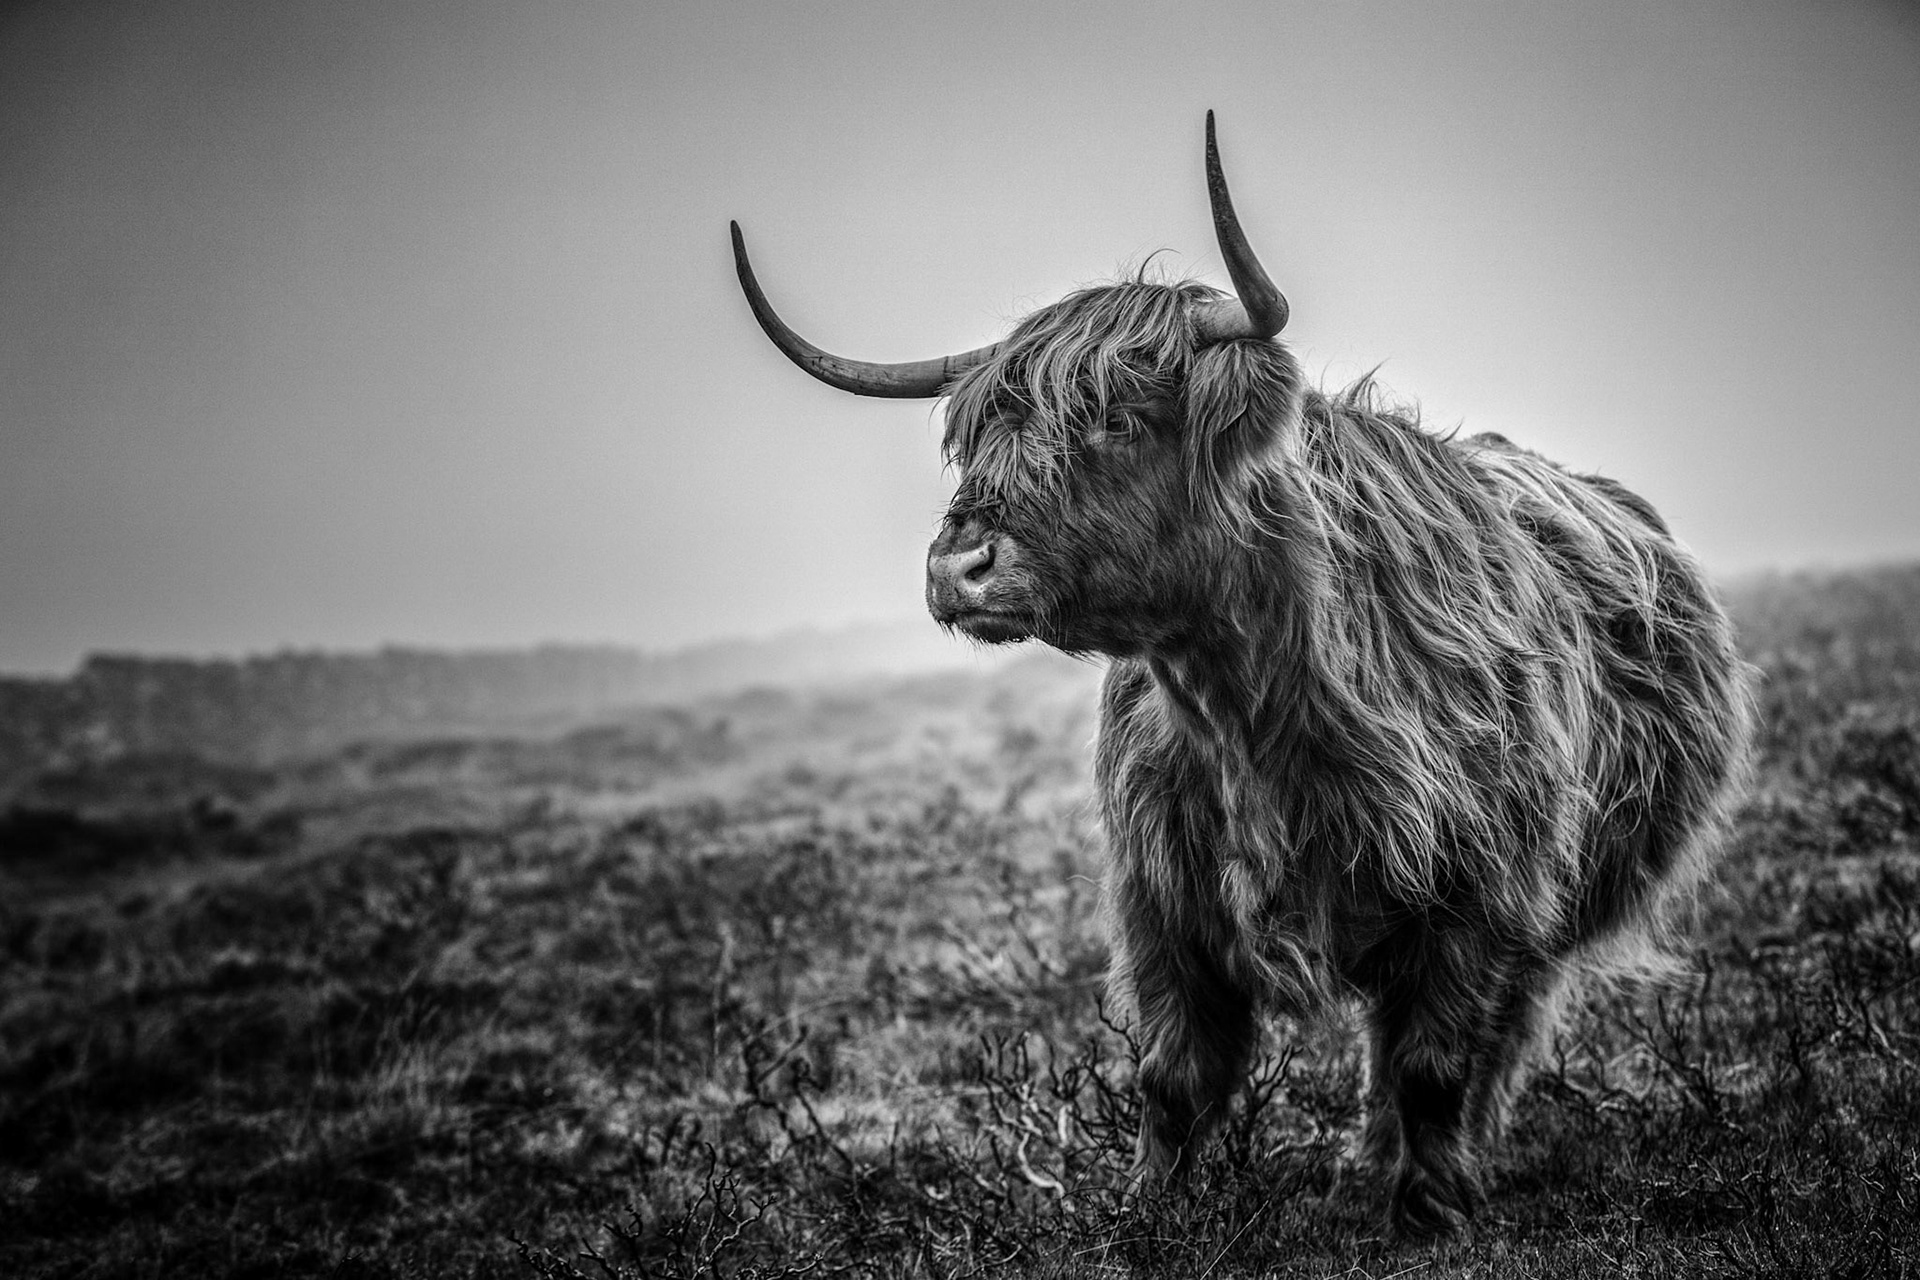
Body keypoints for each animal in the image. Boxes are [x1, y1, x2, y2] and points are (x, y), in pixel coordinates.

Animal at [728, 113, 1754, 1237]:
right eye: (977, 436)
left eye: (1120, 418)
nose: (959, 565)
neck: (1246, 709)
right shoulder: (1160, 898)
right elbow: (1174, 1075)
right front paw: (1146, 1213)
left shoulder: (1480, 897)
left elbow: (1434, 1065)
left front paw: (1429, 1214)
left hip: (1548, 910)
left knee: (1491, 1041)